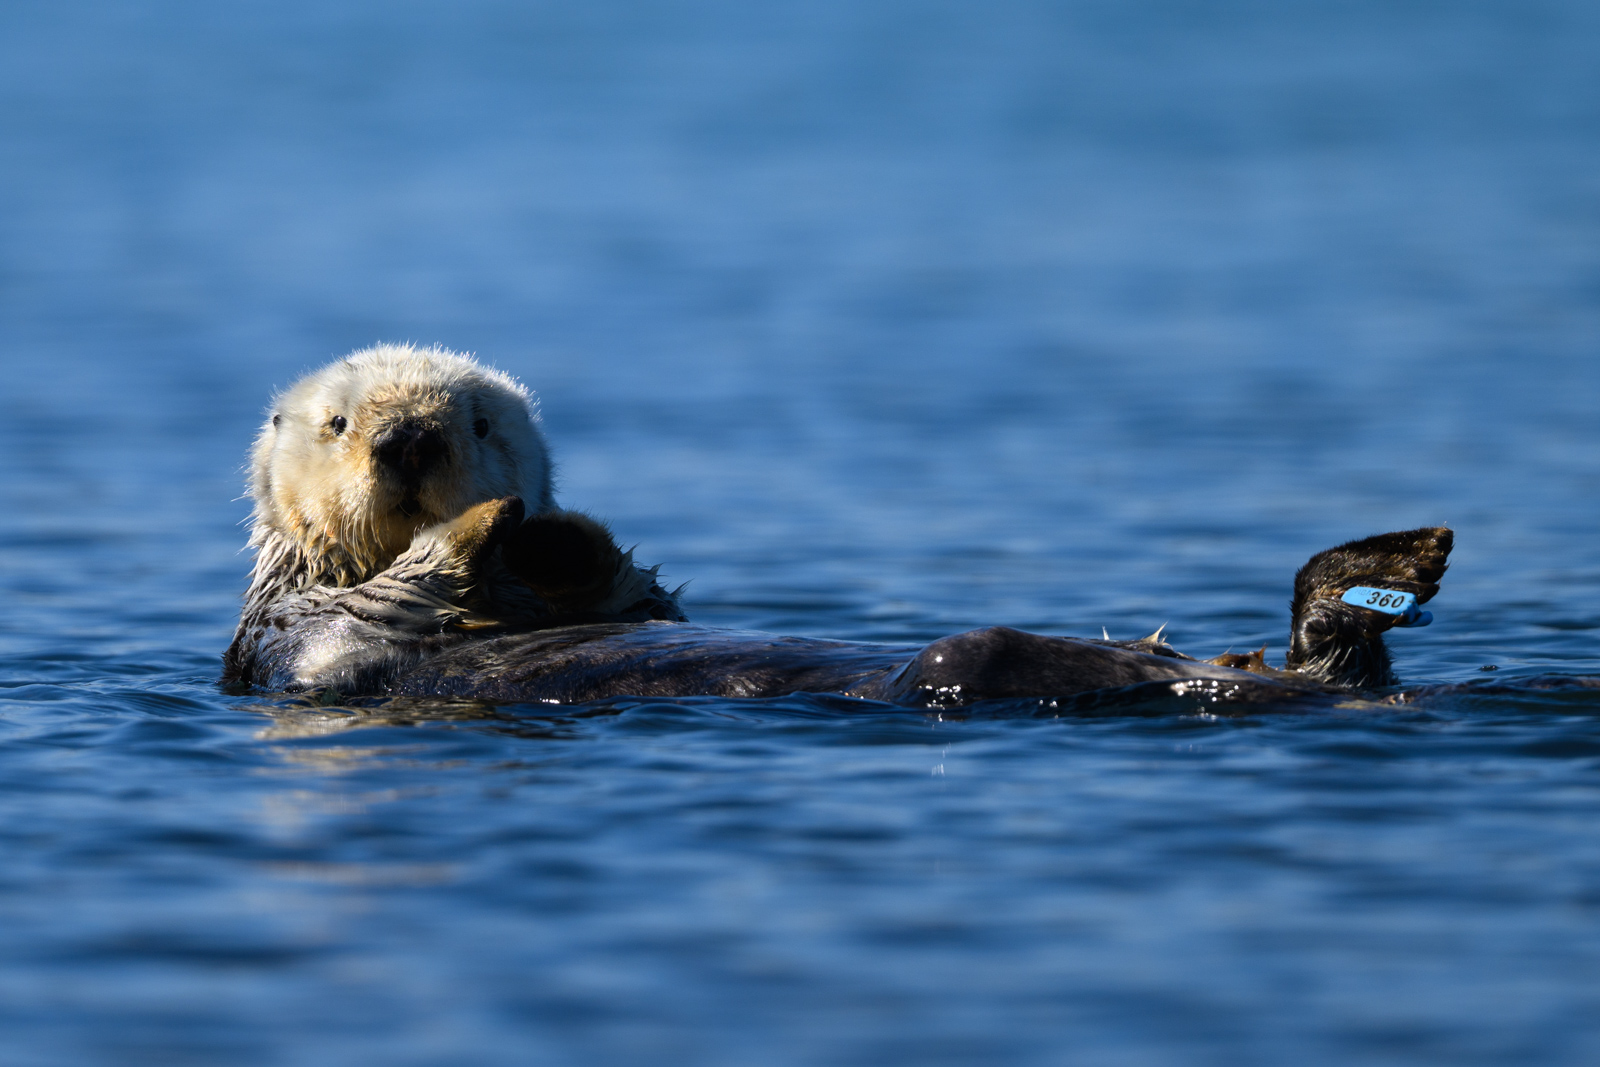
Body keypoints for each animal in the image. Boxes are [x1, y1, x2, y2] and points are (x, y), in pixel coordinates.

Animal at [224, 345, 1452, 709]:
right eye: (341, 422)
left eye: (475, 420)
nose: (408, 442)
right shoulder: (294, 634)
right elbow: (388, 599)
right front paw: (496, 525)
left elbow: (623, 588)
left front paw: (561, 530)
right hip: (956, 666)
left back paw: (1389, 563)